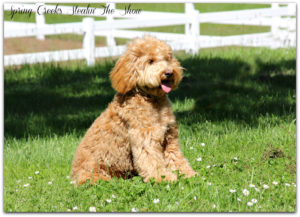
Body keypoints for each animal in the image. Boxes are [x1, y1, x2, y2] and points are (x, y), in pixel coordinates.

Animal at [70, 36, 197, 185]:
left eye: (167, 59)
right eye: (150, 61)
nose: (169, 73)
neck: (151, 99)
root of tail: (73, 176)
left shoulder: (169, 136)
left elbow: (176, 157)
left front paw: (189, 174)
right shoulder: (145, 137)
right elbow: (151, 160)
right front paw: (162, 177)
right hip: (96, 173)